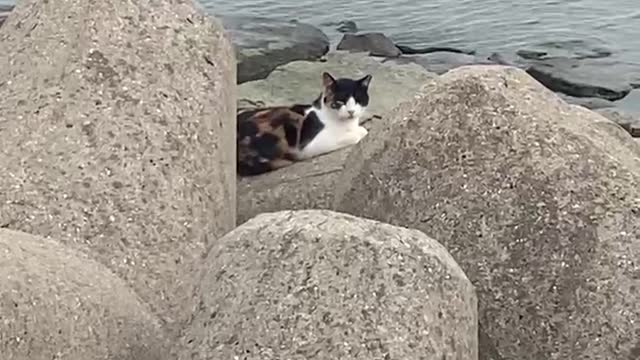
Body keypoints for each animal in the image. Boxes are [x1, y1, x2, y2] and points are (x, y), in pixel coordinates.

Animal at [236, 71, 372, 176]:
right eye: (340, 102)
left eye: (358, 100)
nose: (351, 111)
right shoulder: (310, 145)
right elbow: (357, 134)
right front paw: (360, 131)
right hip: (287, 116)